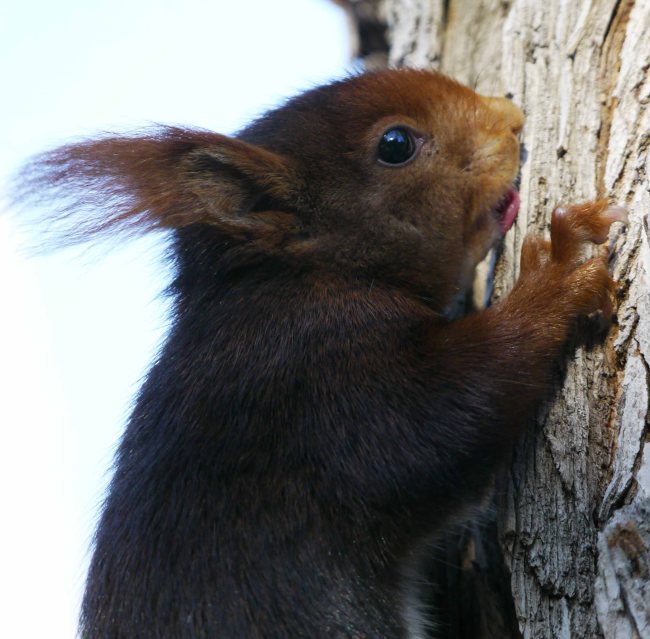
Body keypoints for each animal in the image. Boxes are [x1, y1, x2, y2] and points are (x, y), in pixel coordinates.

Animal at [16, 69, 625, 638]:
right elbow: (455, 414)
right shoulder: (320, 375)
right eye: (395, 144)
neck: (302, 275)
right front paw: (558, 277)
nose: (511, 118)